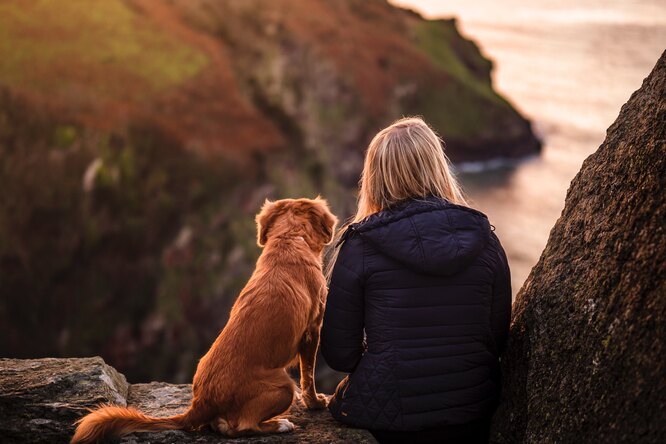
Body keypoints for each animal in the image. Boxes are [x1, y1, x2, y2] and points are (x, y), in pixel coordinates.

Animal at [71, 199, 338, 444]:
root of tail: (201, 403)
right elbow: (308, 375)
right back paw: (279, 424)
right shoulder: (313, 329)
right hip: (283, 385)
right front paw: (316, 403)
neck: (289, 239)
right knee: (241, 426)